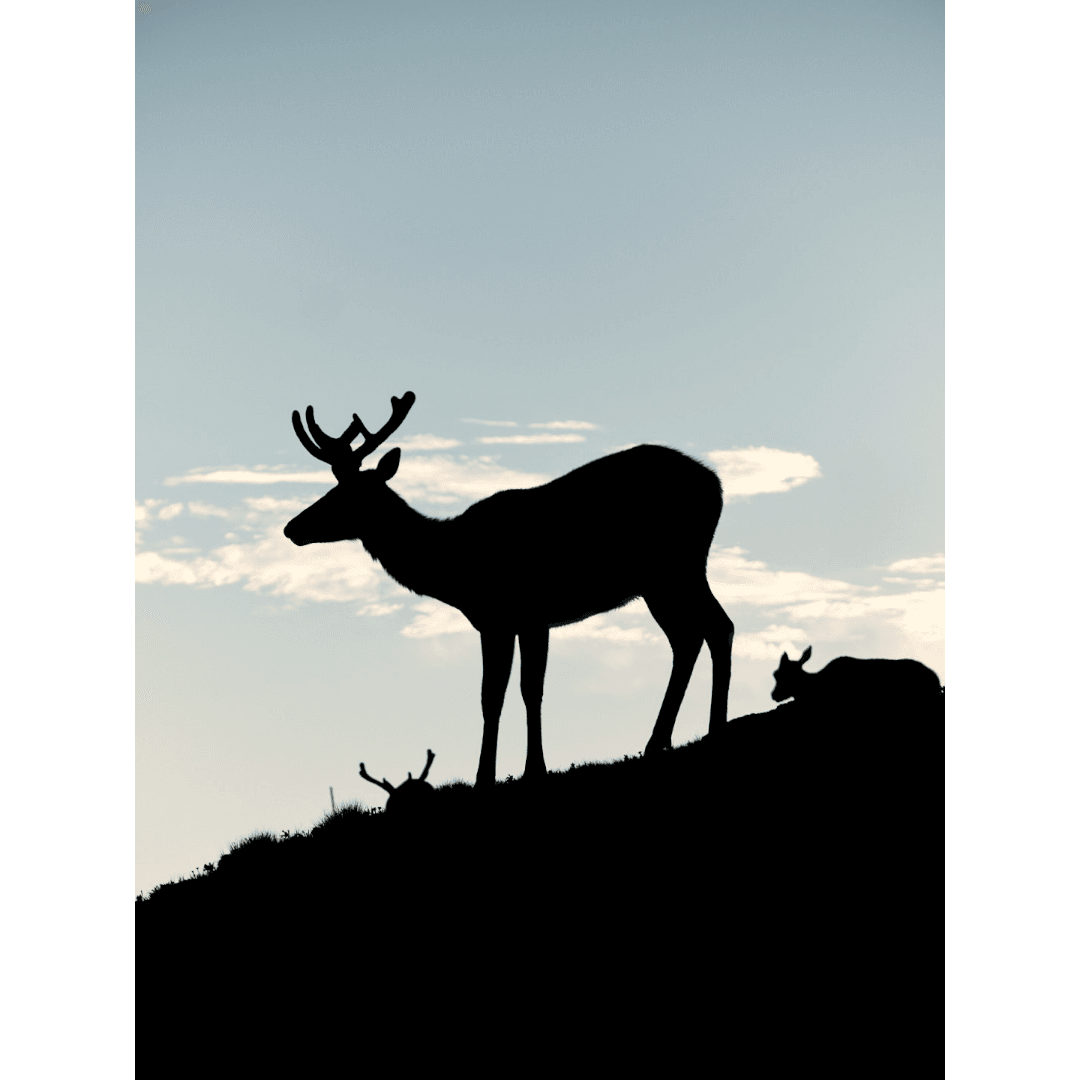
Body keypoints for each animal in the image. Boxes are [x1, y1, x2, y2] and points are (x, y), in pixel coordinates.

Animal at [284, 391, 735, 788]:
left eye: (346, 495)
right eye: (330, 488)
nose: (291, 528)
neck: (455, 567)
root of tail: (716, 484)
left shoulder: (524, 614)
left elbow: (521, 691)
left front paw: (522, 771)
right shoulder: (501, 621)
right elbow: (499, 694)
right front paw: (499, 772)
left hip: (676, 565)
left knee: (716, 628)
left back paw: (712, 731)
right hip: (663, 578)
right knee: (690, 637)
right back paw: (661, 742)